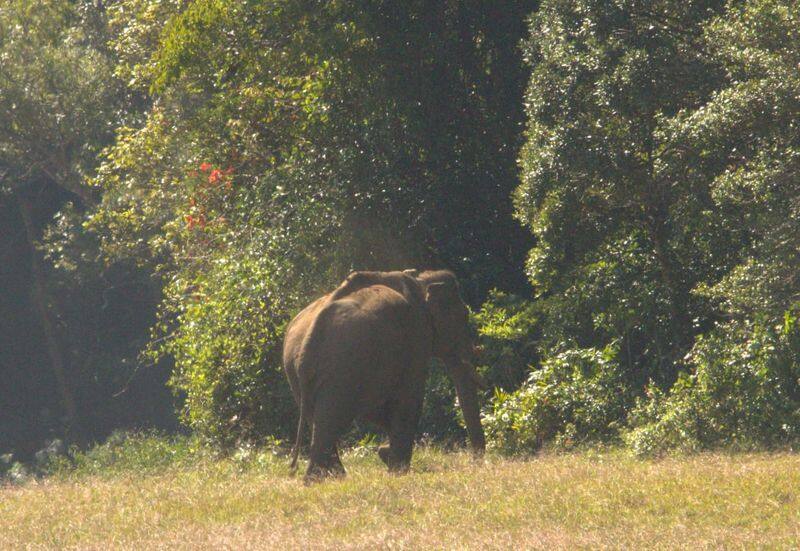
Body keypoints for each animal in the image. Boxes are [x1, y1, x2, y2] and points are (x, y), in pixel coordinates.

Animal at [288, 270, 488, 480]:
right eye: (464, 315)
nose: (475, 462)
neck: (420, 281)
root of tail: (308, 340)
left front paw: (385, 453)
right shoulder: (416, 337)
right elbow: (409, 401)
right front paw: (397, 471)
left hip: (303, 373)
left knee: (319, 419)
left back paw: (329, 477)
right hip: (342, 367)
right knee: (332, 418)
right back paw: (320, 479)